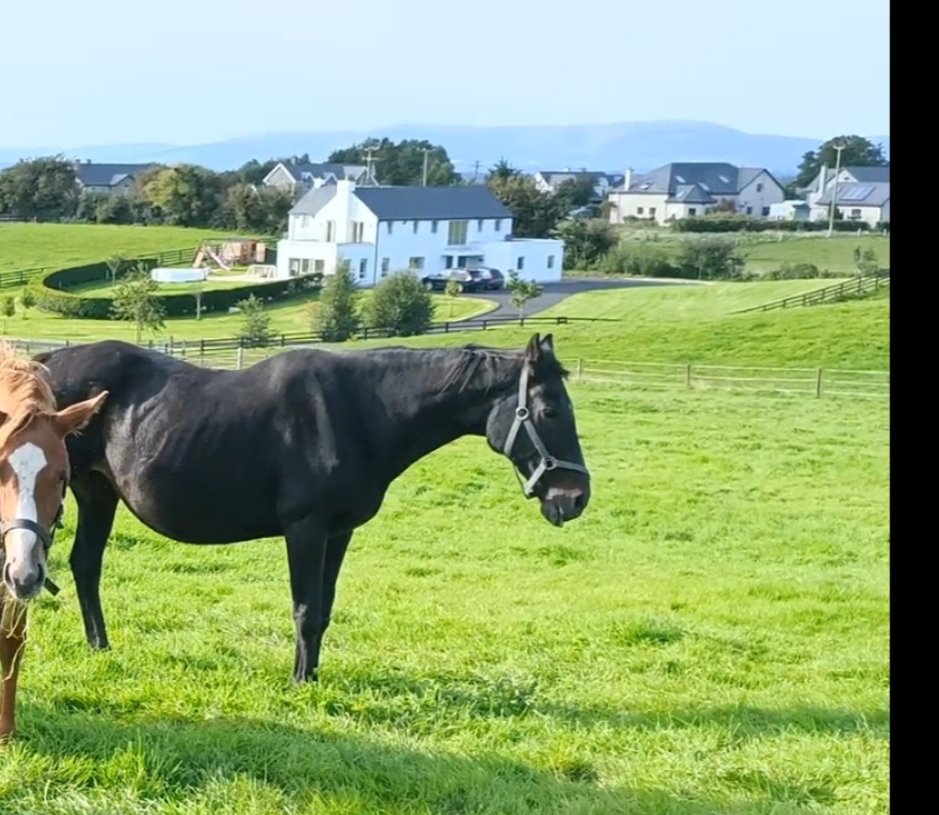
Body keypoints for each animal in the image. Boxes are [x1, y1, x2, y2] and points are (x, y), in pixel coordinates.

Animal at [38, 332, 596, 684]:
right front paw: (300, 681)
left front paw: (315, 674)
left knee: (86, 566)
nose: (574, 498)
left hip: (97, 492)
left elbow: (324, 609)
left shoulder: (338, 532)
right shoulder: (305, 528)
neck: (363, 411)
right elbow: (306, 610)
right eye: (550, 411)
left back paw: (100, 646)